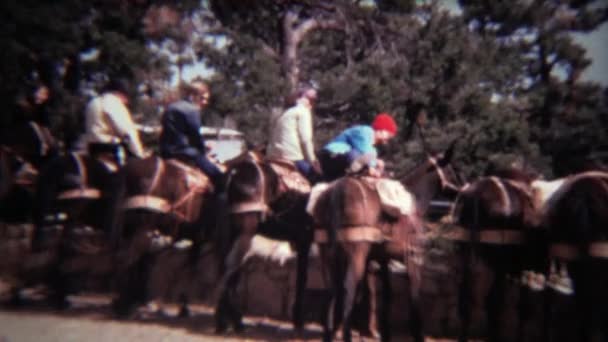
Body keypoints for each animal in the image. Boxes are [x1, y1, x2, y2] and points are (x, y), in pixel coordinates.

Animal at [214, 153, 316, 334]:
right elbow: (303, 278)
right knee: (231, 266)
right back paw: (234, 321)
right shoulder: (304, 240)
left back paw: (226, 321)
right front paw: (298, 321)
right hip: (245, 231)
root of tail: (234, 173)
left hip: (232, 232)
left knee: (227, 266)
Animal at [308, 149, 460, 342]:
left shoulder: (381, 258)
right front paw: (417, 333)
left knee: (332, 289)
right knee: (348, 288)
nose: (464, 189)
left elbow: (386, 293)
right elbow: (414, 296)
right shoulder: (412, 258)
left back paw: (331, 332)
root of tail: (336, 190)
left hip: (327, 254)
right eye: (453, 170)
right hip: (355, 254)